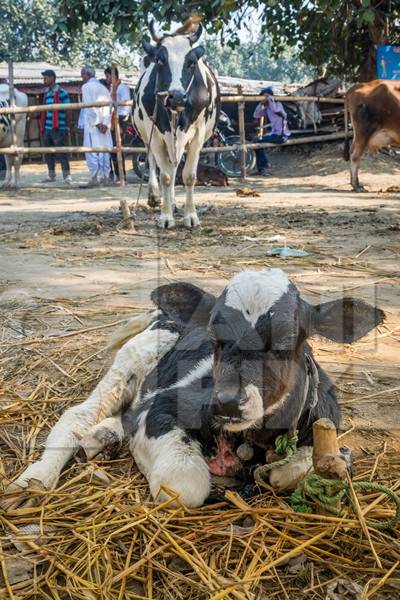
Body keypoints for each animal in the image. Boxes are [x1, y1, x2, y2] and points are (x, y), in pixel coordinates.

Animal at [3, 270, 384, 508]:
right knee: (80, 415)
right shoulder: (162, 405)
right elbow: (184, 486)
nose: (227, 403)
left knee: (119, 416)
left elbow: (299, 468)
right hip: (132, 361)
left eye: (288, 339)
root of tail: (164, 314)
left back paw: (104, 437)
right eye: (214, 335)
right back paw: (36, 478)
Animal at [133, 20, 220, 227]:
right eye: (160, 60)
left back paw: (172, 203)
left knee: (174, 168)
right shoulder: (155, 133)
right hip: (148, 136)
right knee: (156, 164)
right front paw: (165, 217)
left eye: (191, 62)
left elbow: (188, 176)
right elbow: (165, 176)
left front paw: (191, 216)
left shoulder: (198, 134)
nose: (177, 97)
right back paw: (157, 197)